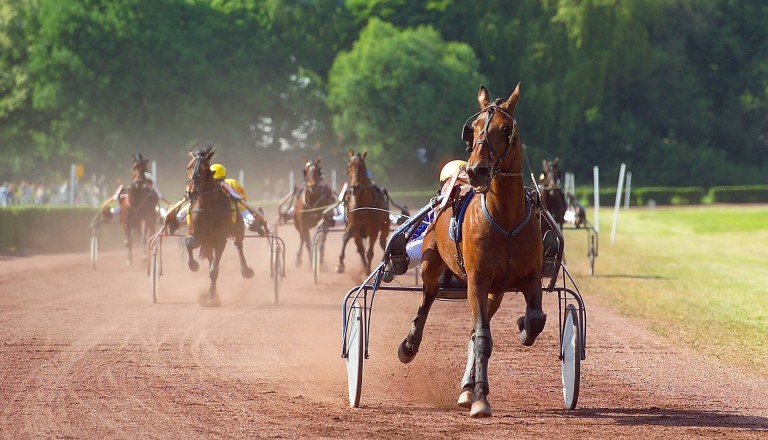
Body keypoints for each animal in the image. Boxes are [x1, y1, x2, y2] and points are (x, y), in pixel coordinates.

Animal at [181, 144, 254, 302]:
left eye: (204, 168)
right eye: (188, 167)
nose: (191, 192)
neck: (208, 205)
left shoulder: (220, 239)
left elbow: (214, 270)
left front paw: (211, 296)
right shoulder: (197, 234)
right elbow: (189, 243)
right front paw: (194, 265)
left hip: (238, 228)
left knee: (239, 245)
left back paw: (245, 270)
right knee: (210, 255)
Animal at [400, 84, 544, 418]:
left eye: (505, 129)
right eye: (475, 128)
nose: (477, 170)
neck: (505, 219)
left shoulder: (529, 277)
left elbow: (535, 320)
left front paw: (523, 326)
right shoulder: (477, 281)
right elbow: (482, 338)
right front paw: (480, 398)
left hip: (495, 292)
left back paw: (467, 386)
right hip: (432, 263)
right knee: (428, 297)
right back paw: (411, 345)